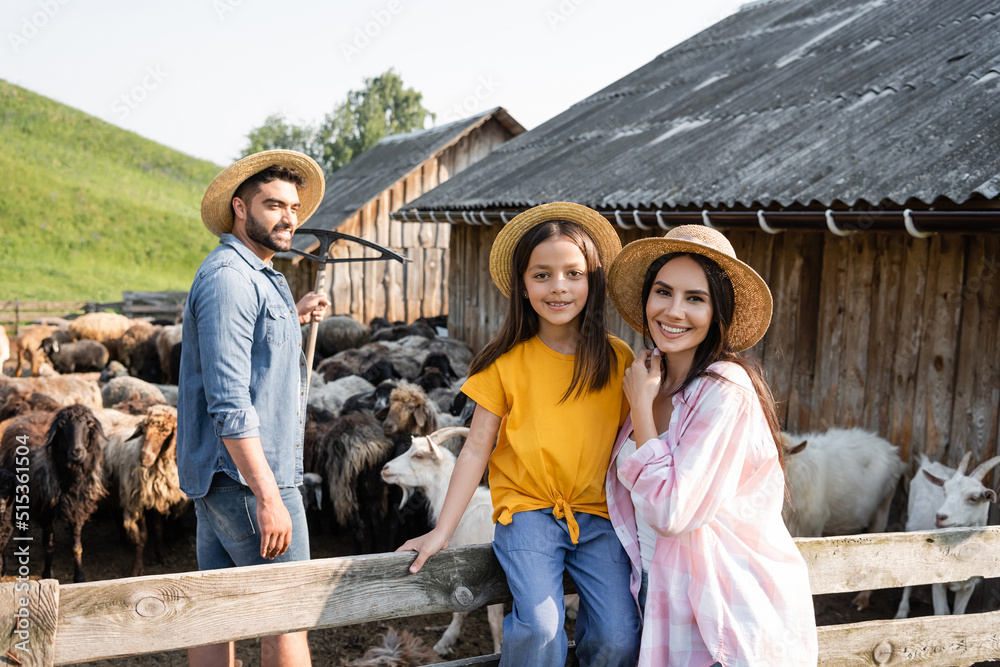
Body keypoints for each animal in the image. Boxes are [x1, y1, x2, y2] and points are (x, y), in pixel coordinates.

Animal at [896, 454, 1000, 620]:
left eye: (973, 498)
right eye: (945, 491)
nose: (940, 517)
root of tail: (928, 463)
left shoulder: (968, 586)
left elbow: (958, 614)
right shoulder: (938, 583)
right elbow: (940, 614)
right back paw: (902, 612)